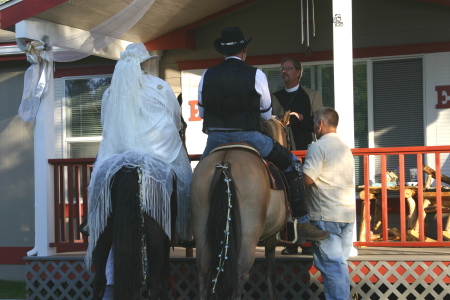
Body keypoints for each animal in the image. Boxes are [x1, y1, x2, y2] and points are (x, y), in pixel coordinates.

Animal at [192, 113, 292, 298]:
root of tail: (225, 164)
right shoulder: (272, 237)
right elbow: (271, 271)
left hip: (201, 228)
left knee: (203, 272)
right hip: (248, 235)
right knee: (240, 275)